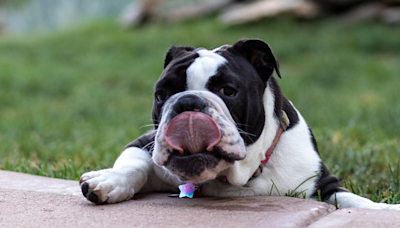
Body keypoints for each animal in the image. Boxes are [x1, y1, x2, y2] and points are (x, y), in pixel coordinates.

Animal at [79, 38, 400, 210]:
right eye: (161, 95)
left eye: (228, 91)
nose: (187, 102)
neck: (242, 177)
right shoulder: (145, 144)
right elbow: (135, 164)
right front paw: (109, 181)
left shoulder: (322, 184)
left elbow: (353, 200)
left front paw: (384, 211)